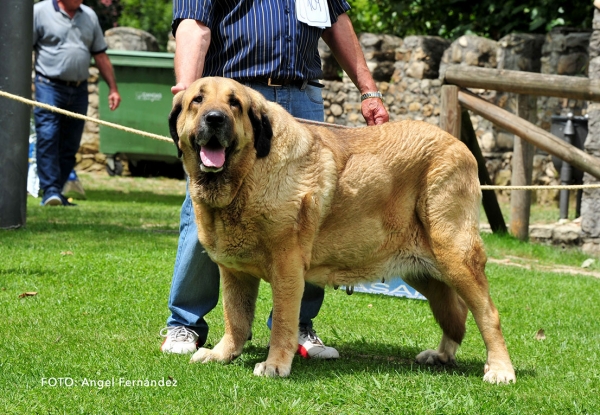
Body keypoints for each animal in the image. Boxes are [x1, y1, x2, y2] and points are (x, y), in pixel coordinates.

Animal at [168, 77, 516, 384]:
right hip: (424, 272)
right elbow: (235, 318)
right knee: (455, 312)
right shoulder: (234, 272)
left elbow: (282, 322)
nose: (215, 118)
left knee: (488, 314)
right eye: (197, 100)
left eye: (235, 104)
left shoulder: (287, 268)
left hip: (455, 255)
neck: (247, 175)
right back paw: (443, 355)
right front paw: (222, 354)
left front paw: (275, 365)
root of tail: (460, 145)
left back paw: (500, 369)